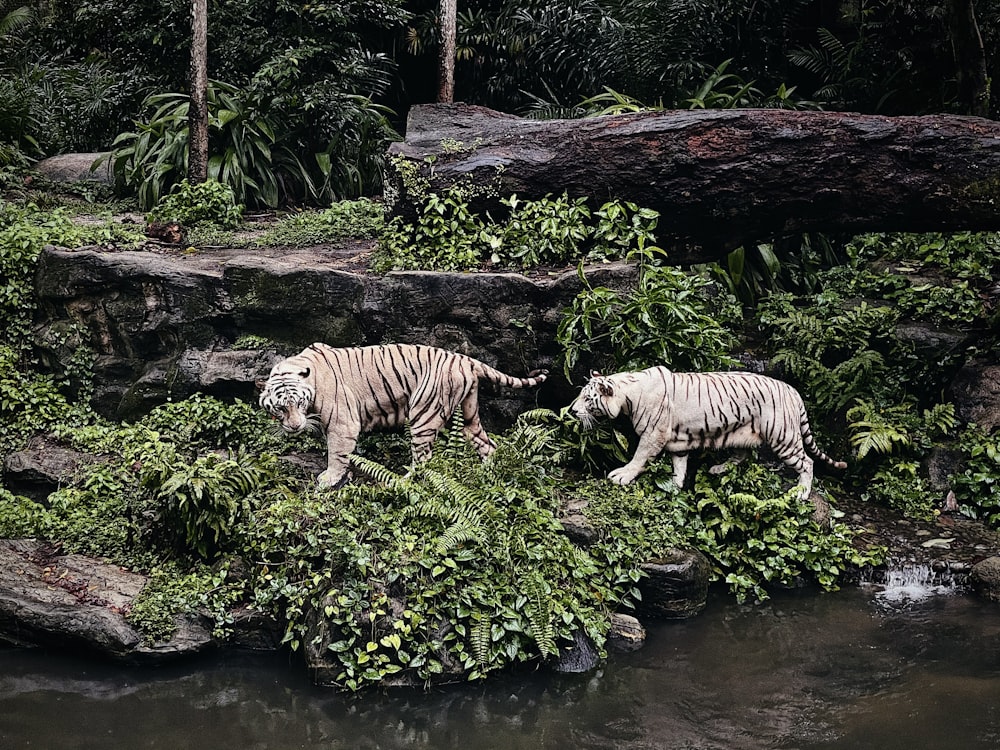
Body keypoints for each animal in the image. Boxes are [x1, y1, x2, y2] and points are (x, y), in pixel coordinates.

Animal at [258, 346, 548, 490]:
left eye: (299, 403)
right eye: (280, 408)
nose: (295, 427)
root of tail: (464, 359)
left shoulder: (343, 423)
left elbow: (337, 453)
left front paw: (329, 478)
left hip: (423, 415)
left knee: (423, 461)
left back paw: (400, 482)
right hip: (468, 414)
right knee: (487, 444)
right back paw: (488, 472)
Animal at [572, 366, 844, 496]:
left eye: (587, 399)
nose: (572, 411)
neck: (628, 394)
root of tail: (793, 390)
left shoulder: (653, 435)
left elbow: (639, 457)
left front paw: (622, 476)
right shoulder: (677, 441)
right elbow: (679, 465)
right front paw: (675, 486)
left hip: (783, 436)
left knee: (807, 462)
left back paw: (802, 493)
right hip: (742, 432)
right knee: (742, 454)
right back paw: (719, 468)